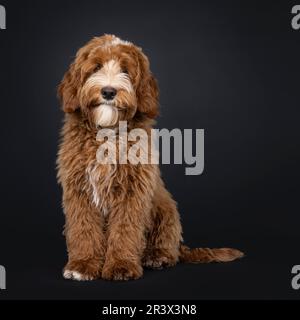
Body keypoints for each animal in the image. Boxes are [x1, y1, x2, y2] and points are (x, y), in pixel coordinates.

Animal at [56, 33, 244, 282]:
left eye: (125, 70)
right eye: (96, 67)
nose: (108, 92)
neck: (108, 133)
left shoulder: (133, 192)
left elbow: (126, 229)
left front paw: (121, 265)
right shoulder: (79, 188)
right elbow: (83, 228)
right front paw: (83, 265)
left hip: (166, 210)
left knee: (167, 245)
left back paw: (157, 256)